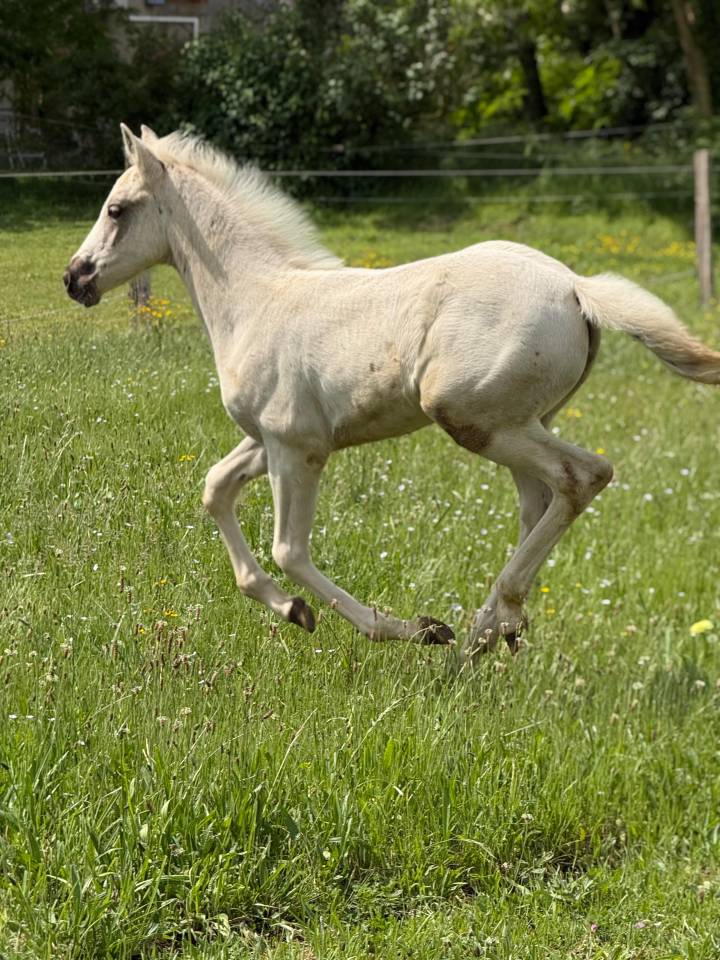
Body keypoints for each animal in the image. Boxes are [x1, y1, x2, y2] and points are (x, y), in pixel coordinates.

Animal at [64, 124, 720, 665]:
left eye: (117, 209)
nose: (75, 277)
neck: (257, 298)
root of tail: (575, 286)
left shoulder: (296, 447)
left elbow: (289, 550)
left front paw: (411, 629)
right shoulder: (269, 440)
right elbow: (215, 489)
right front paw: (291, 609)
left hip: (471, 416)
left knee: (584, 476)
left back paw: (480, 626)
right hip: (522, 420)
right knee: (541, 498)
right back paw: (496, 629)